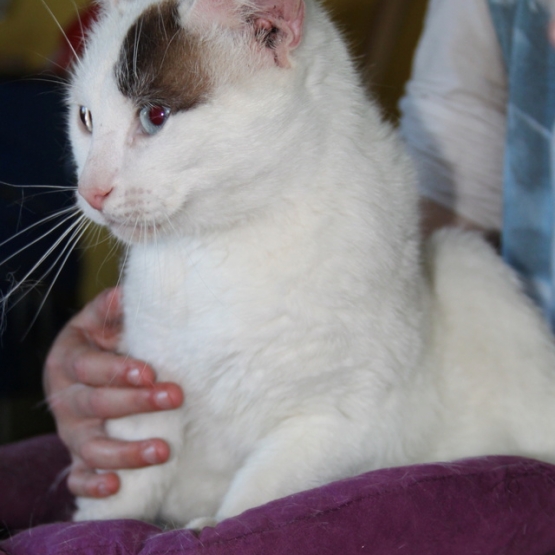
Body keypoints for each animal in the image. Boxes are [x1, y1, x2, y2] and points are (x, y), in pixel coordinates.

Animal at [70, 0, 555, 532]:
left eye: (154, 116)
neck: (218, 250)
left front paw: (208, 527)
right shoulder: (148, 389)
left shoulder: (341, 422)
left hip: (470, 259)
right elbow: (124, 485)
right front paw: (101, 525)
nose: (89, 191)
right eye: (86, 119)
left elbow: (257, 497)